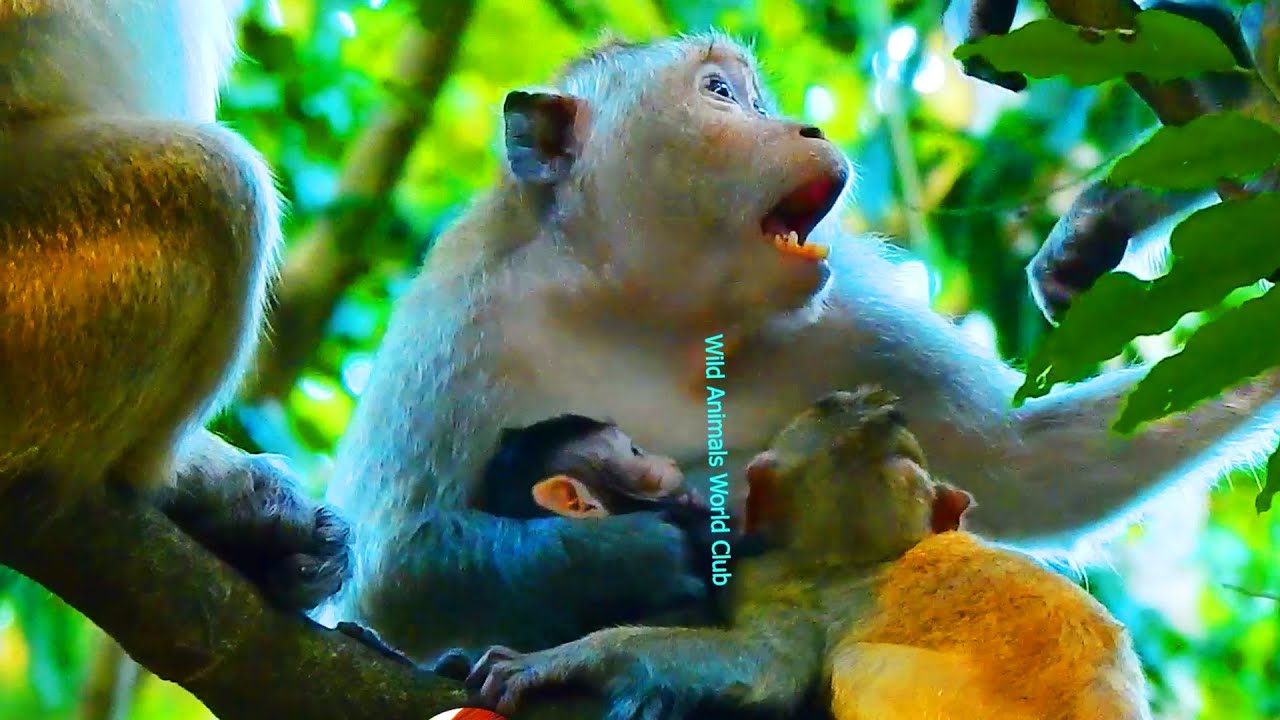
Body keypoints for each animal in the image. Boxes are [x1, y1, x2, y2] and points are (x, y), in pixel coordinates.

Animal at [320, 32, 1280, 675]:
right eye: (719, 93)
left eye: (753, 95)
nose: (805, 127)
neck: (651, 312)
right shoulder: (459, 323)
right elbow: (396, 568)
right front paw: (632, 553)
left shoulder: (853, 317)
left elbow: (1029, 468)